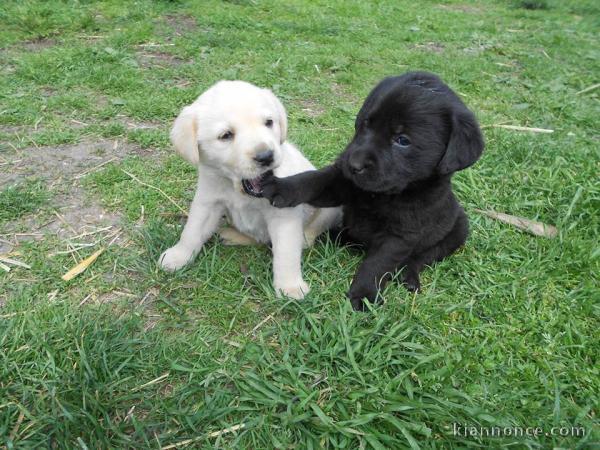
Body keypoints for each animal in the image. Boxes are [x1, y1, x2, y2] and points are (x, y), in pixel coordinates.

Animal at [159, 81, 340, 298]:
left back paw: (303, 239)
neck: (237, 189)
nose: (266, 156)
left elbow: (286, 253)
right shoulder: (208, 201)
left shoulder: (283, 214)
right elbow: (192, 231)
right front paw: (179, 255)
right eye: (226, 135)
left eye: (269, 122)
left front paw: (290, 286)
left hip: (329, 206)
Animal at [262, 71, 482, 310]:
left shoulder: (400, 236)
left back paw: (408, 277)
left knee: (422, 257)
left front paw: (364, 294)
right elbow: (312, 180)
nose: (353, 164)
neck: (384, 195)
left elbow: (377, 264)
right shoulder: (343, 183)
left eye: (402, 140)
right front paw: (280, 186)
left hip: (457, 231)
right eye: (366, 124)